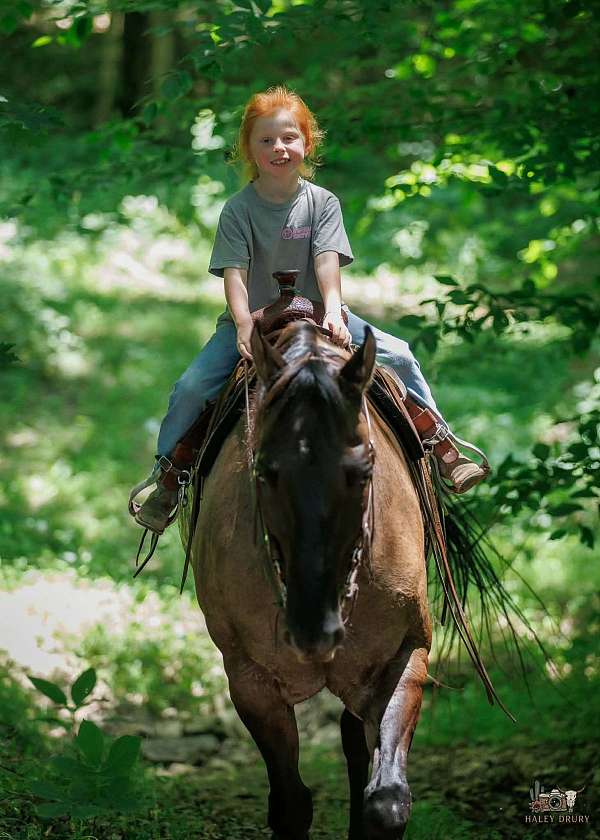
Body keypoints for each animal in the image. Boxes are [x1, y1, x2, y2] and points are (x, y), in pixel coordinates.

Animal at [187, 316, 431, 839]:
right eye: (265, 471)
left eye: (363, 472)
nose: (311, 630)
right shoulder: (250, 680)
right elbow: (291, 805)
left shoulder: (406, 655)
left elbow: (387, 802)